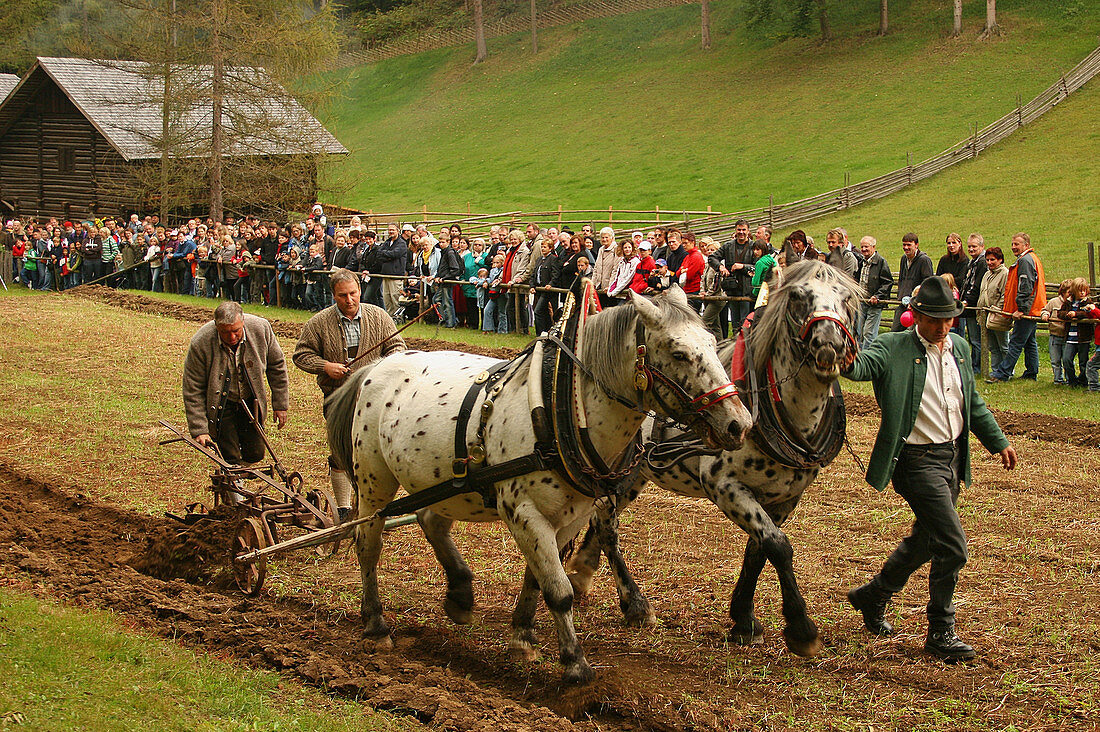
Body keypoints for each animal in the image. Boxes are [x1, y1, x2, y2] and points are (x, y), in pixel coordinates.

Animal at [327, 286, 756, 686]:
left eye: (712, 343)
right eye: (679, 353)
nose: (740, 424)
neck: (563, 405)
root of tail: (379, 364)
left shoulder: (569, 517)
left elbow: (539, 577)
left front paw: (522, 636)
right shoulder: (525, 513)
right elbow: (560, 591)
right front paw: (575, 665)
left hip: (445, 482)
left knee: (430, 519)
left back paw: (461, 594)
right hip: (373, 482)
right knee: (368, 544)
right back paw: (376, 624)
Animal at [572, 260, 862, 656]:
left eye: (846, 298)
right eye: (799, 297)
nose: (829, 346)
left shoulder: (786, 498)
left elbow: (759, 550)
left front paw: (743, 619)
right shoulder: (725, 487)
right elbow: (778, 547)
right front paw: (802, 628)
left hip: (633, 474)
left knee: (600, 521)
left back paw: (583, 573)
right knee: (606, 524)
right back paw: (635, 604)